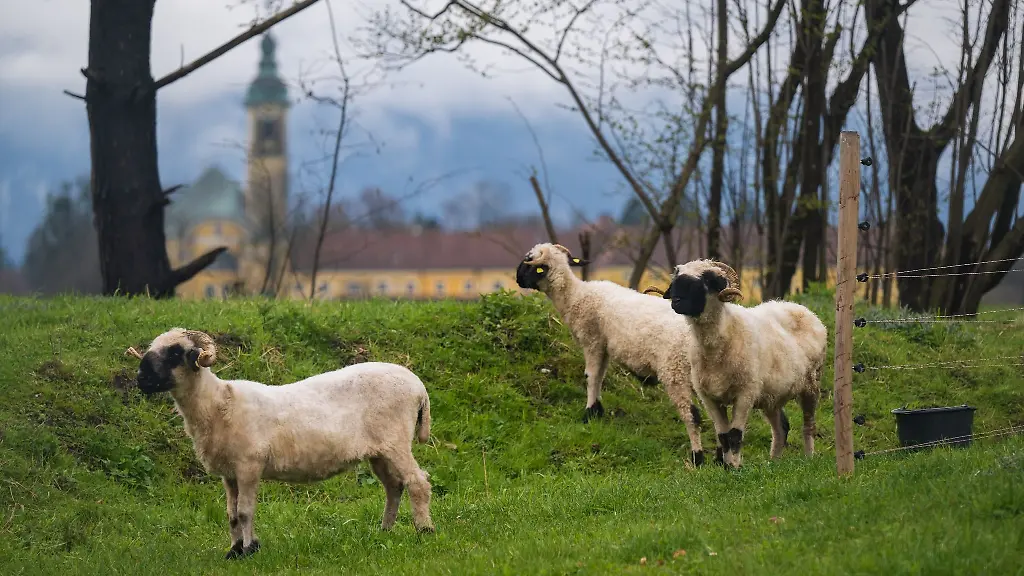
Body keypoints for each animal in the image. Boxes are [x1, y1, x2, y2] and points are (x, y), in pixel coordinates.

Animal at [126, 328, 435, 560]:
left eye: (175, 352)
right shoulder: (229, 473)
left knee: (418, 483)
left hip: (396, 441)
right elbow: (231, 514)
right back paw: (384, 531)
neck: (217, 404)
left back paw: (425, 532)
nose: (141, 379)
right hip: (379, 451)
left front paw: (250, 550)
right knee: (394, 487)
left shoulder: (249, 466)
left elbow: (245, 511)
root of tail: (418, 386)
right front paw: (234, 551)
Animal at [515, 242, 708, 466]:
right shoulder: (604, 346)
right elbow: (600, 377)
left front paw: (589, 412)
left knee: (691, 415)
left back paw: (697, 457)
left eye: (529, 264)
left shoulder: (592, 340)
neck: (576, 296)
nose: (517, 279)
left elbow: (591, 376)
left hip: (675, 372)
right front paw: (597, 410)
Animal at [659, 259, 826, 468]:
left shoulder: (745, 393)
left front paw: (736, 467)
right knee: (780, 428)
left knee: (808, 424)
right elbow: (723, 436)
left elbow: (735, 435)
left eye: (708, 280)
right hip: (771, 395)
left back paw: (809, 457)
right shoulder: (709, 398)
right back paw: (773, 462)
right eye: (677, 277)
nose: (676, 301)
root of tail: (802, 308)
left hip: (811, 384)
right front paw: (727, 467)